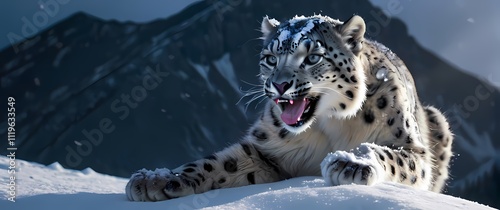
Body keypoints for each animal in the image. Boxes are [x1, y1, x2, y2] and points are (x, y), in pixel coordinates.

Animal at [125, 14, 454, 202]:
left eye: (312, 57)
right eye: (270, 58)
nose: (279, 85)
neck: (328, 126)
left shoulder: (412, 149)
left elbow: (389, 155)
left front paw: (351, 163)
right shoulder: (265, 149)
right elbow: (216, 164)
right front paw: (156, 179)